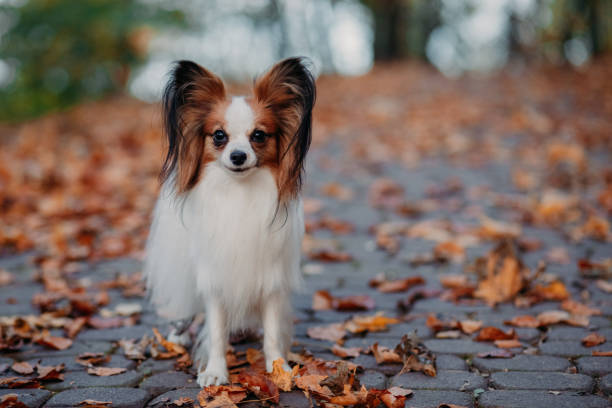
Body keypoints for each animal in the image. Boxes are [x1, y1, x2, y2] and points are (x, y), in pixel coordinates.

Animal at [144, 57, 316, 386]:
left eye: (258, 135)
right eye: (219, 136)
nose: (238, 156)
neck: (239, 193)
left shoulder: (270, 278)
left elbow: (272, 332)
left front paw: (279, 368)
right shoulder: (215, 278)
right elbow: (216, 331)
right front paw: (215, 371)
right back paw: (178, 335)